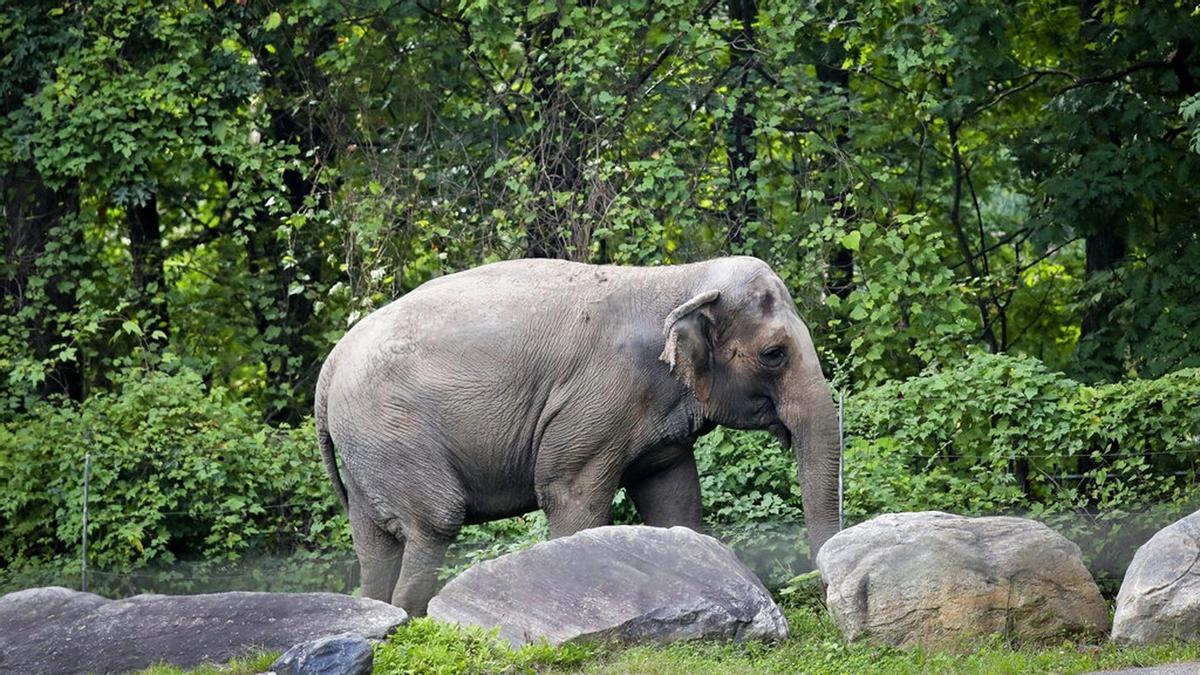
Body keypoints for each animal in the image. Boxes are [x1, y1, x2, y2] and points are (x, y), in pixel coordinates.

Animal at [314, 254, 840, 612]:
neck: (679, 278)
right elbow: (571, 496)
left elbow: (674, 499)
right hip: (393, 431)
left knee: (373, 543)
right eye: (774, 354)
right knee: (434, 522)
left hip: (367, 450)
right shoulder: (598, 399)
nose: (820, 590)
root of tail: (330, 365)